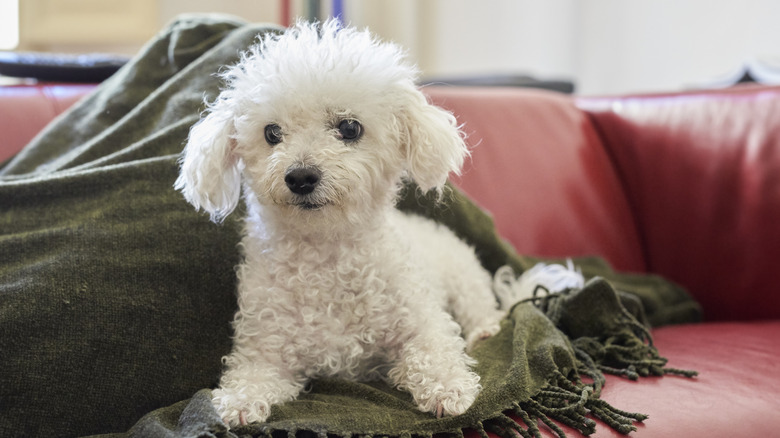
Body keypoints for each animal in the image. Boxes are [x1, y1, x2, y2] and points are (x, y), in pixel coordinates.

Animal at [174, 20, 506, 428]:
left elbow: (435, 348)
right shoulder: (266, 348)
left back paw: (486, 330)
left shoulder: (421, 319)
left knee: (481, 309)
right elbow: (252, 374)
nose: (300, 177)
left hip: (464, 278)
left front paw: (448, 388)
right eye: (272, 133)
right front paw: (239, 401)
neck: (326, 252)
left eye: (349, 128)